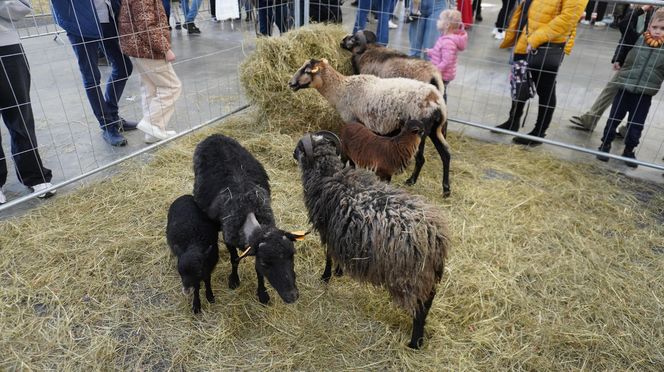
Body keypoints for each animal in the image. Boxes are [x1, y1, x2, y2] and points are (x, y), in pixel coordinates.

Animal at [192, 134, 306, 306]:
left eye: (292, 255)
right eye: (266, 262)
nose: (292, 296)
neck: (248, 209)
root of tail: (214, 136)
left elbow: (257, 271)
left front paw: (262, 294)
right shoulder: (229, 238)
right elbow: (234, 259)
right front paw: (234, 280)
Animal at [286, 57, 452, 196]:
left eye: (307, 70)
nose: (290, 83)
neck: (341, 90)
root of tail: (438, 101)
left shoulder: (353, 120)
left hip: (422, 128)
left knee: (421, 158)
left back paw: (411, 181)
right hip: (435, 130)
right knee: (446, 154)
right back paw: (446, 190)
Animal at [294, 132, 452, 348]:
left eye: (300, 146)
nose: (293, 154)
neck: (329, 175)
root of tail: (436, 238)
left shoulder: (328, 231)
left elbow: (329, 256)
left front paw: (326, 277)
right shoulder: (341, 234)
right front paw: (339, 272)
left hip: (413, 277)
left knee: (420, 308)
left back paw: (414, 343)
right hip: (427, 277)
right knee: (427, 304)